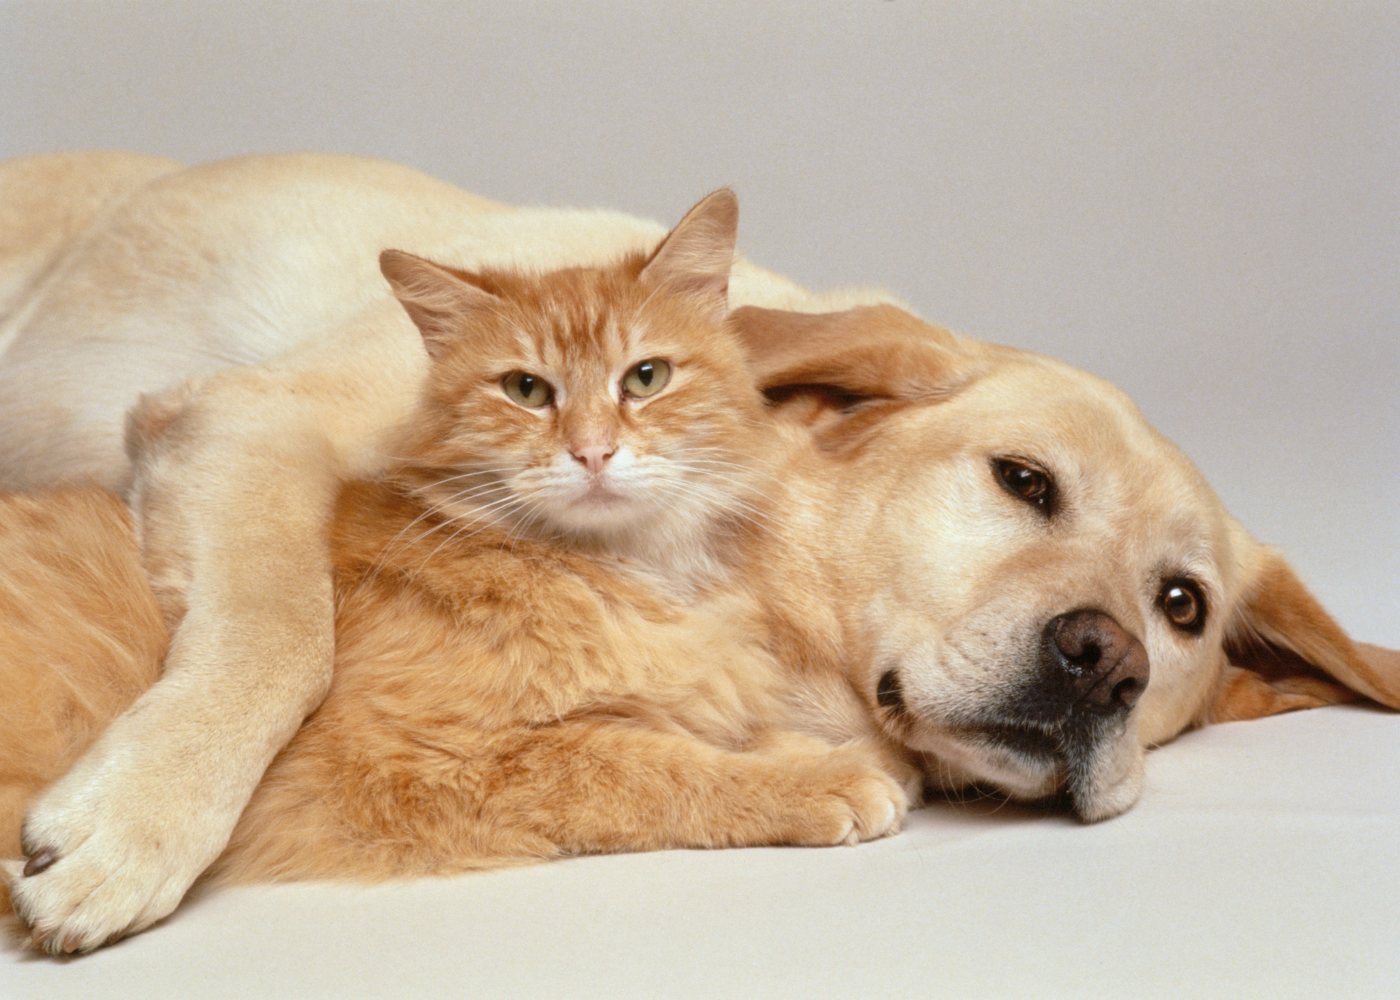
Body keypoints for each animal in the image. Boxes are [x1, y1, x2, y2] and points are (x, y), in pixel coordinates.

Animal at [2, 149, 1400, 952]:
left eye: (1181, 605)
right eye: (1022, 480)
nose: (1103, 659)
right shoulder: (245, 420)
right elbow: (282, 635)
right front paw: (137, 823)